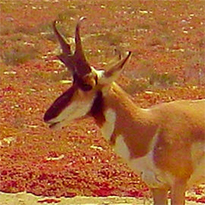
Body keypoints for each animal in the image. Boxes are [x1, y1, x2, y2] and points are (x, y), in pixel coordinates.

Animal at [43, 18, 205, 205]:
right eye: (72, 81)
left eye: (87, 85)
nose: (48, 116)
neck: (150, 126)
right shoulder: (157, 187)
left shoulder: (178, 184)